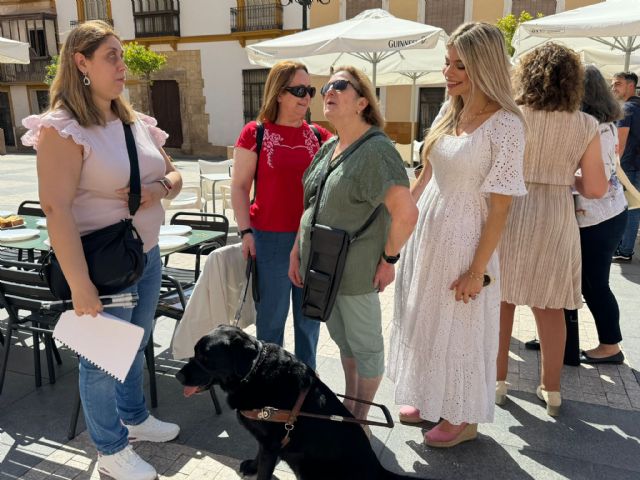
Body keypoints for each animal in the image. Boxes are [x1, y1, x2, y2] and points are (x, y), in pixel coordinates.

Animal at [176, 324, 420, 478]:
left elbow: (264, 471)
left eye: (206, 358)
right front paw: (252, 466)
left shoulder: (271, 444)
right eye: (195, 352)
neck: (254, 371)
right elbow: (258, 454)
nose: (178, 376)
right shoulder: (265, 441)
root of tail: (377, 469)